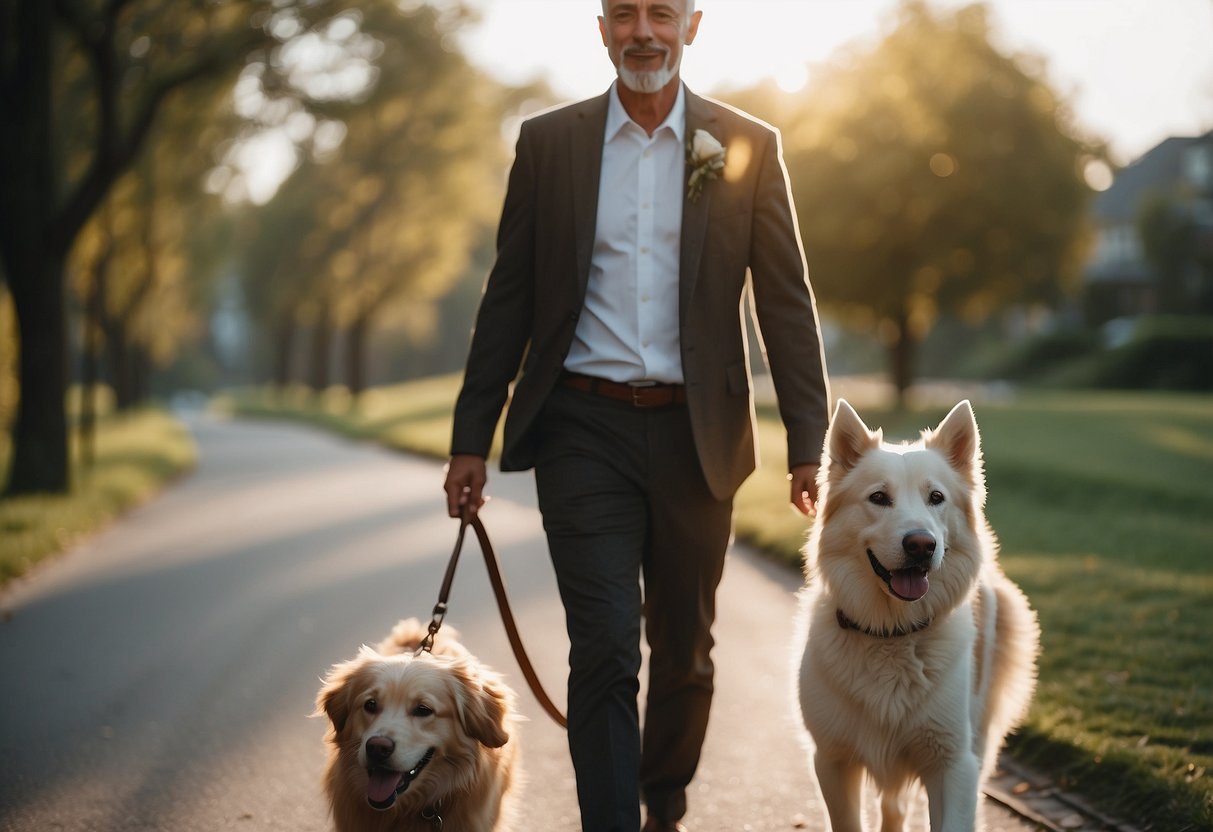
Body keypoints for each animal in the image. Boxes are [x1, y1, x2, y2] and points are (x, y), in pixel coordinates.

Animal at [795, 400, 1043, 829]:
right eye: (879, 497)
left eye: (936, 497)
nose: (922, 545)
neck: (893, 632)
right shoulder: (832, 760)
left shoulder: (954, 765)